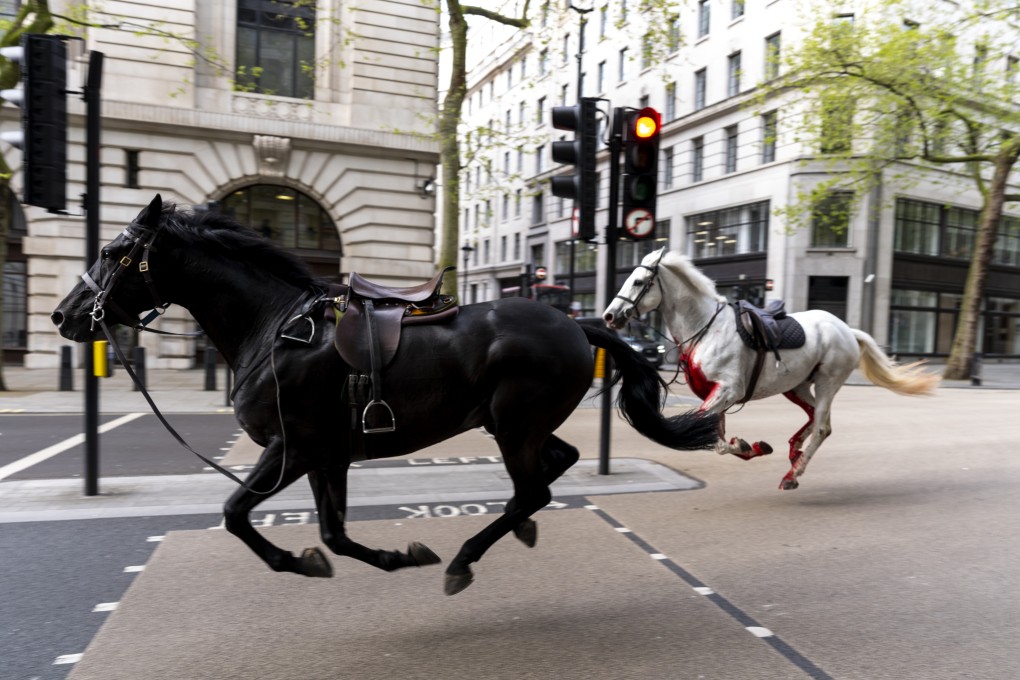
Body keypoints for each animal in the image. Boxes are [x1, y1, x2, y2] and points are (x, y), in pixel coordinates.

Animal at [52, 195, 720, 595]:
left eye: (112, 252)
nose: (64, 316)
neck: (274, 329)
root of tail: (576, 324)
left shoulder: (291, 448)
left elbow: (237, 513)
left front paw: (298, 561)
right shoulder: (327, 456)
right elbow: (333, 535)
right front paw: (390, 557)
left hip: (512, 424)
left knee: (534, 487)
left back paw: (465, 558)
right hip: (511, 424)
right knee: (555, 468)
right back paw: (516, 529)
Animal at [603, 248, 939, 490]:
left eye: (637, 281)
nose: (609, 315)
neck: (705, 328)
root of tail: (846, 329)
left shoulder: (728, 390)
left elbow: (711, 436)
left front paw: (744, 445)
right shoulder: (716, 394)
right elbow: (715, 436)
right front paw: (750, 446)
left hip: (828, 381)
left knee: (822, 426)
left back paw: (793, 474)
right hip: (797, 385)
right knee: (814, 417)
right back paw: (794, 452)